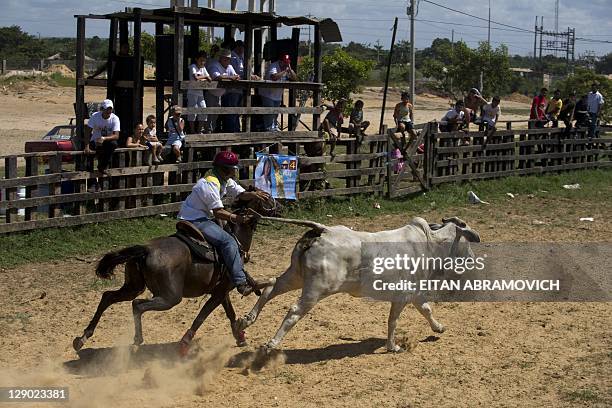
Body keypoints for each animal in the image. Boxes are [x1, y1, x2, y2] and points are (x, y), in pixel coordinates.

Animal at [72, 194, 280, 354]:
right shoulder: (220, 291)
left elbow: (230, 313)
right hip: (170, 297)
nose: (280, 206)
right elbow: (202, 316)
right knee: (137, 305)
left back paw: (82, 338)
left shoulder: (221, 290)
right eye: (266, 197)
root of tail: (146, 250)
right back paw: (137, 340)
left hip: (133, 286)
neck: (234, 238)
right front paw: (185, 343)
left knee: (108, 297)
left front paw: (240, 337)